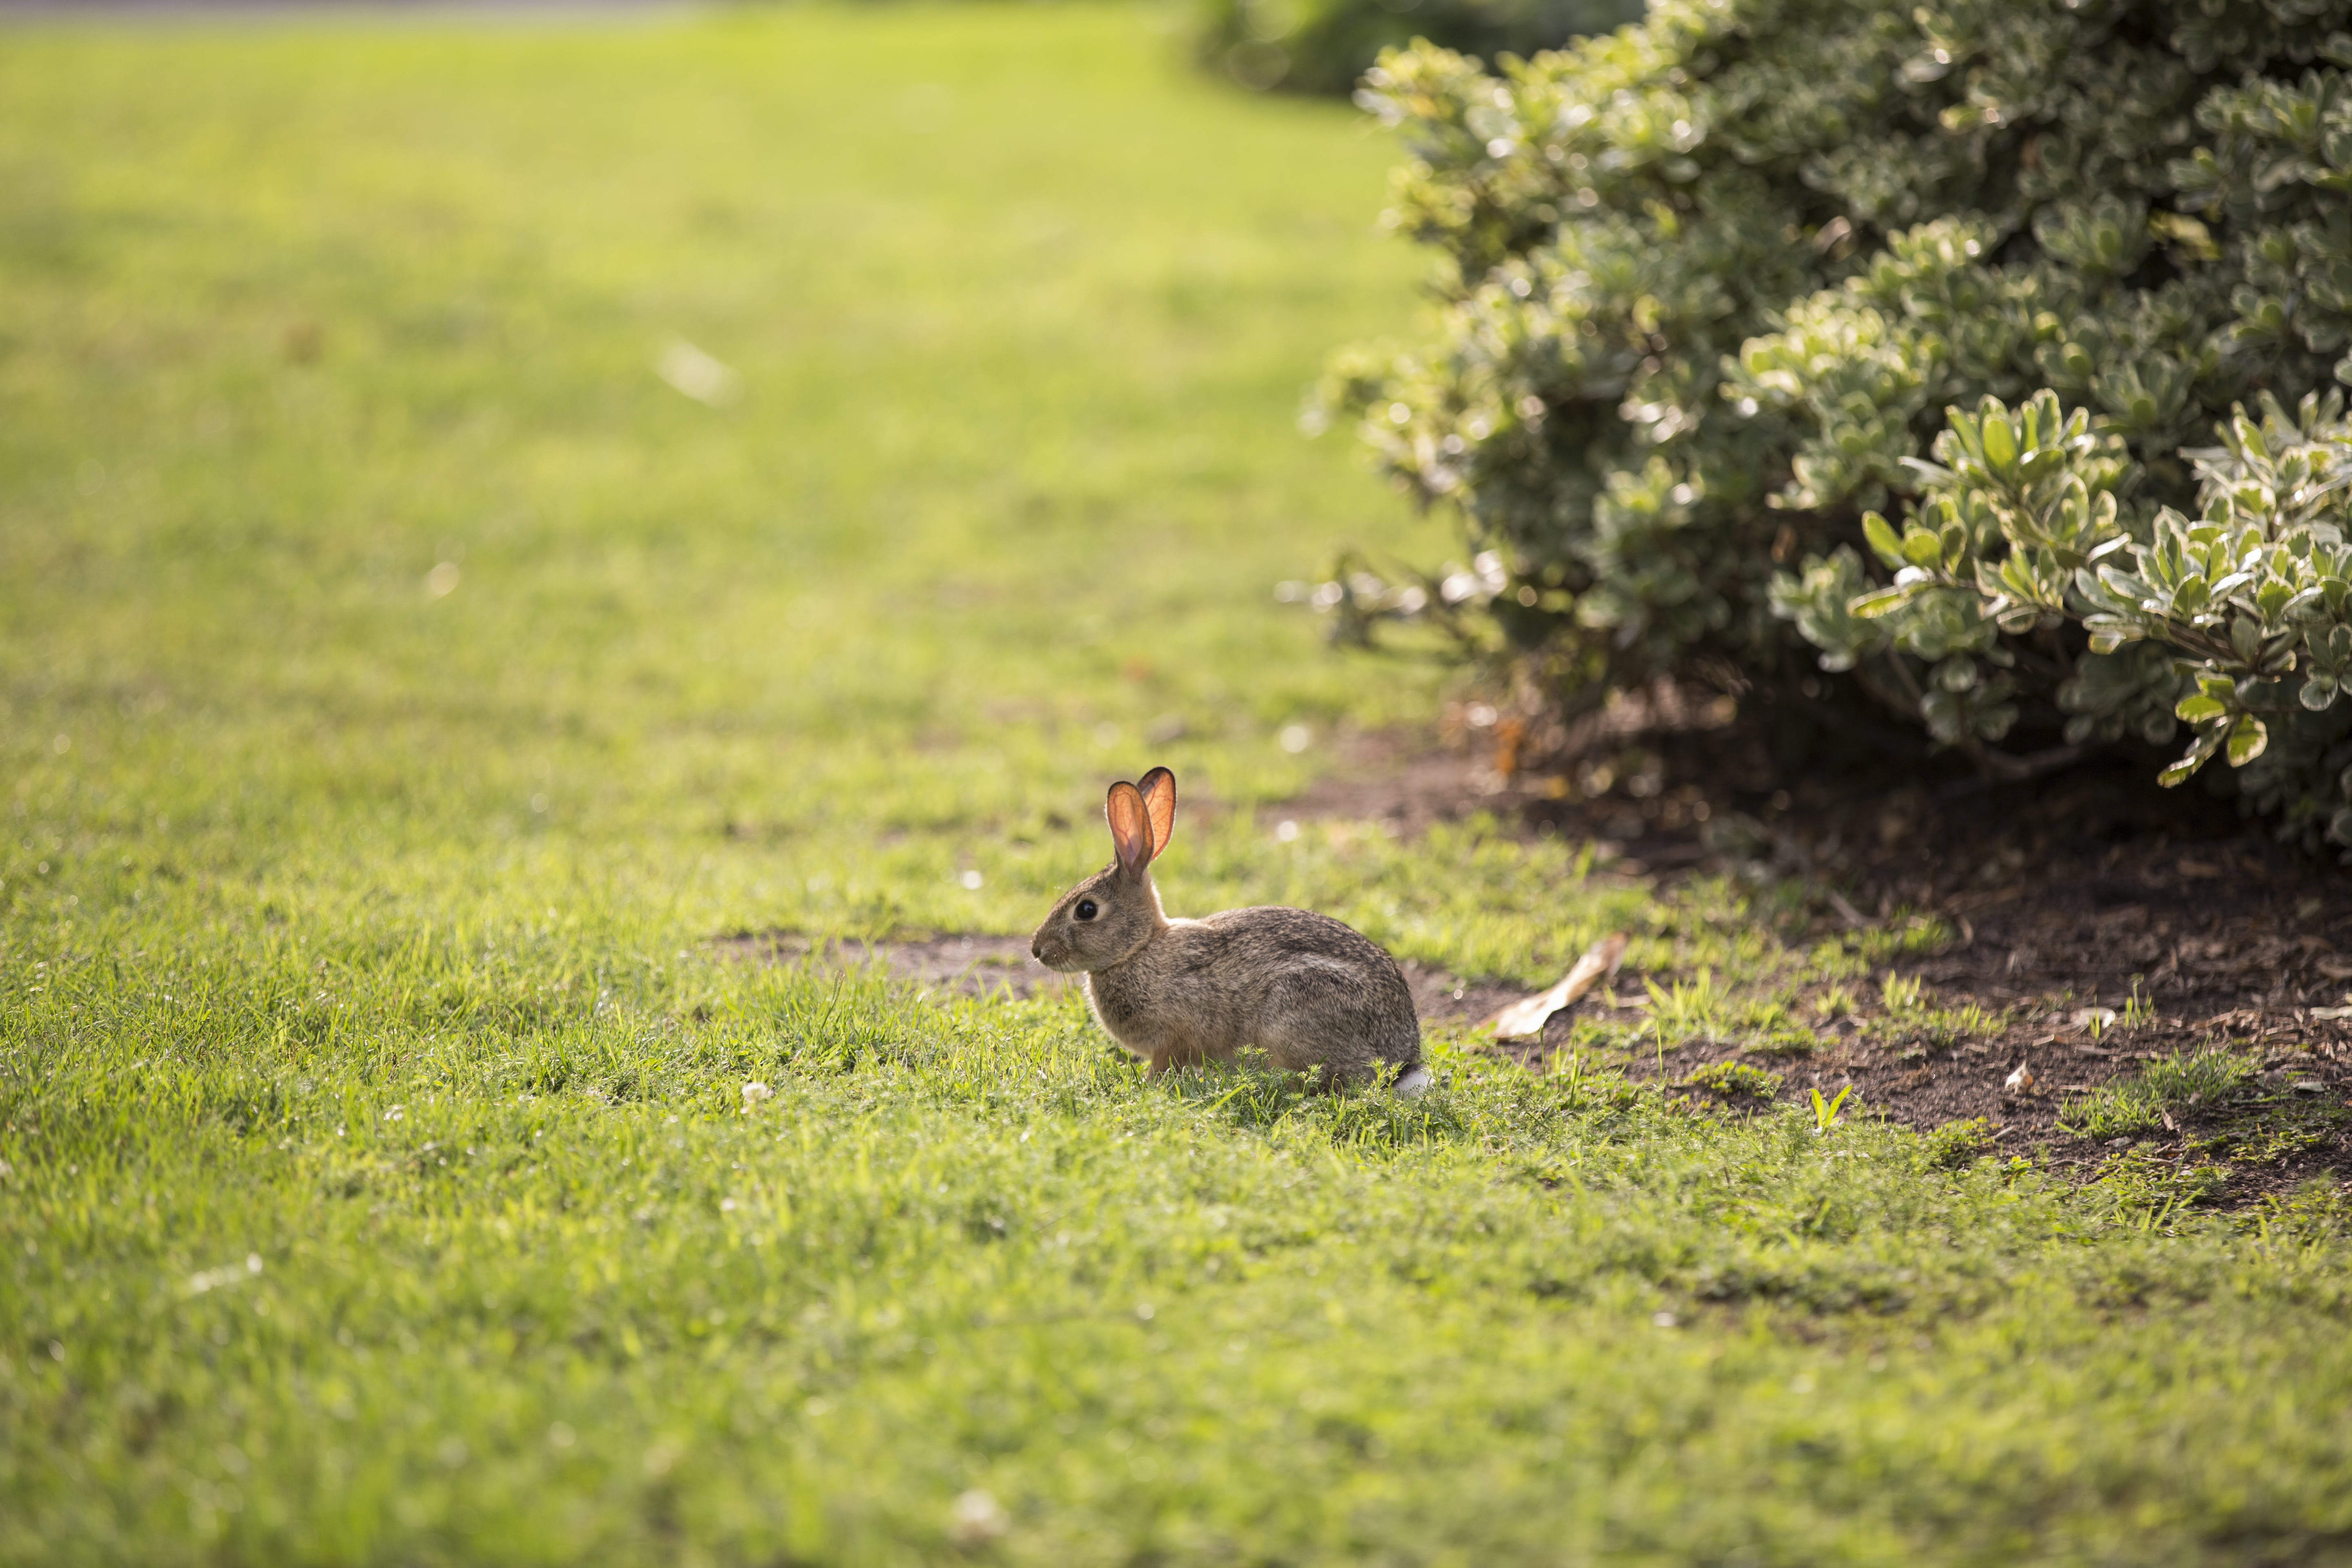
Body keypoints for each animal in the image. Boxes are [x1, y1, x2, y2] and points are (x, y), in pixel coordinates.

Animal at [1030, 766, 1430, 1095]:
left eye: (1086, 910)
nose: (1037, 950)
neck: (1139, 949)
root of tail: (1402, 1060)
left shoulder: (1173, 1038)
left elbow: (1163, 1067)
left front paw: (1147, 1088)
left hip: (1293, 1013)